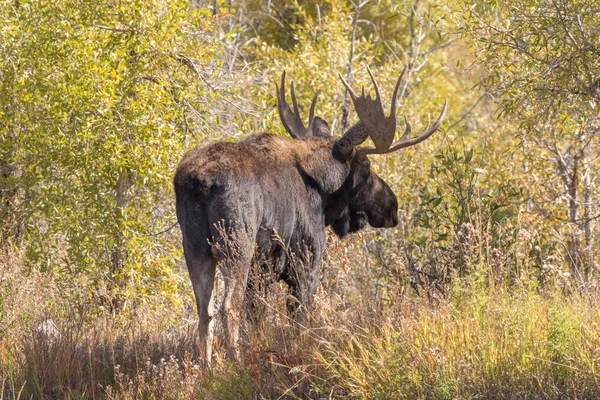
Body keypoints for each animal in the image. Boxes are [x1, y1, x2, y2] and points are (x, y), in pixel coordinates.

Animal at [173, 69, 446, 362]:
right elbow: (300, 320)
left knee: (205, 312)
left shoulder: (263, 275)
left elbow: (257, 318)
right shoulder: (305, 262)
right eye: (366, 166)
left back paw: (208, 367)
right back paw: (236, 362)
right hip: (236, 245)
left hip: (195, 249)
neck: (322, 193)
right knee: (228, 307)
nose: (392, 207)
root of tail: (200, 182)